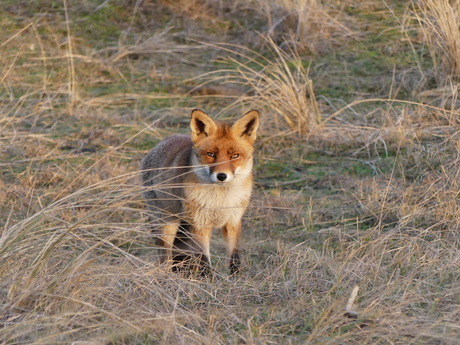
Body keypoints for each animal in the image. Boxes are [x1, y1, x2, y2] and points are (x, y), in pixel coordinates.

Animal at [141, 109, 258, 272]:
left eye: (235, 156)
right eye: (211, 154)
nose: (222, 176)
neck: (219, 200)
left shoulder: (233, 221)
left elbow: (235, 259)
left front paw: (237, 277)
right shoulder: (199, 224)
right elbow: (204, 262)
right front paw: (209, 277)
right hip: (166, 224)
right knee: (165, 257)